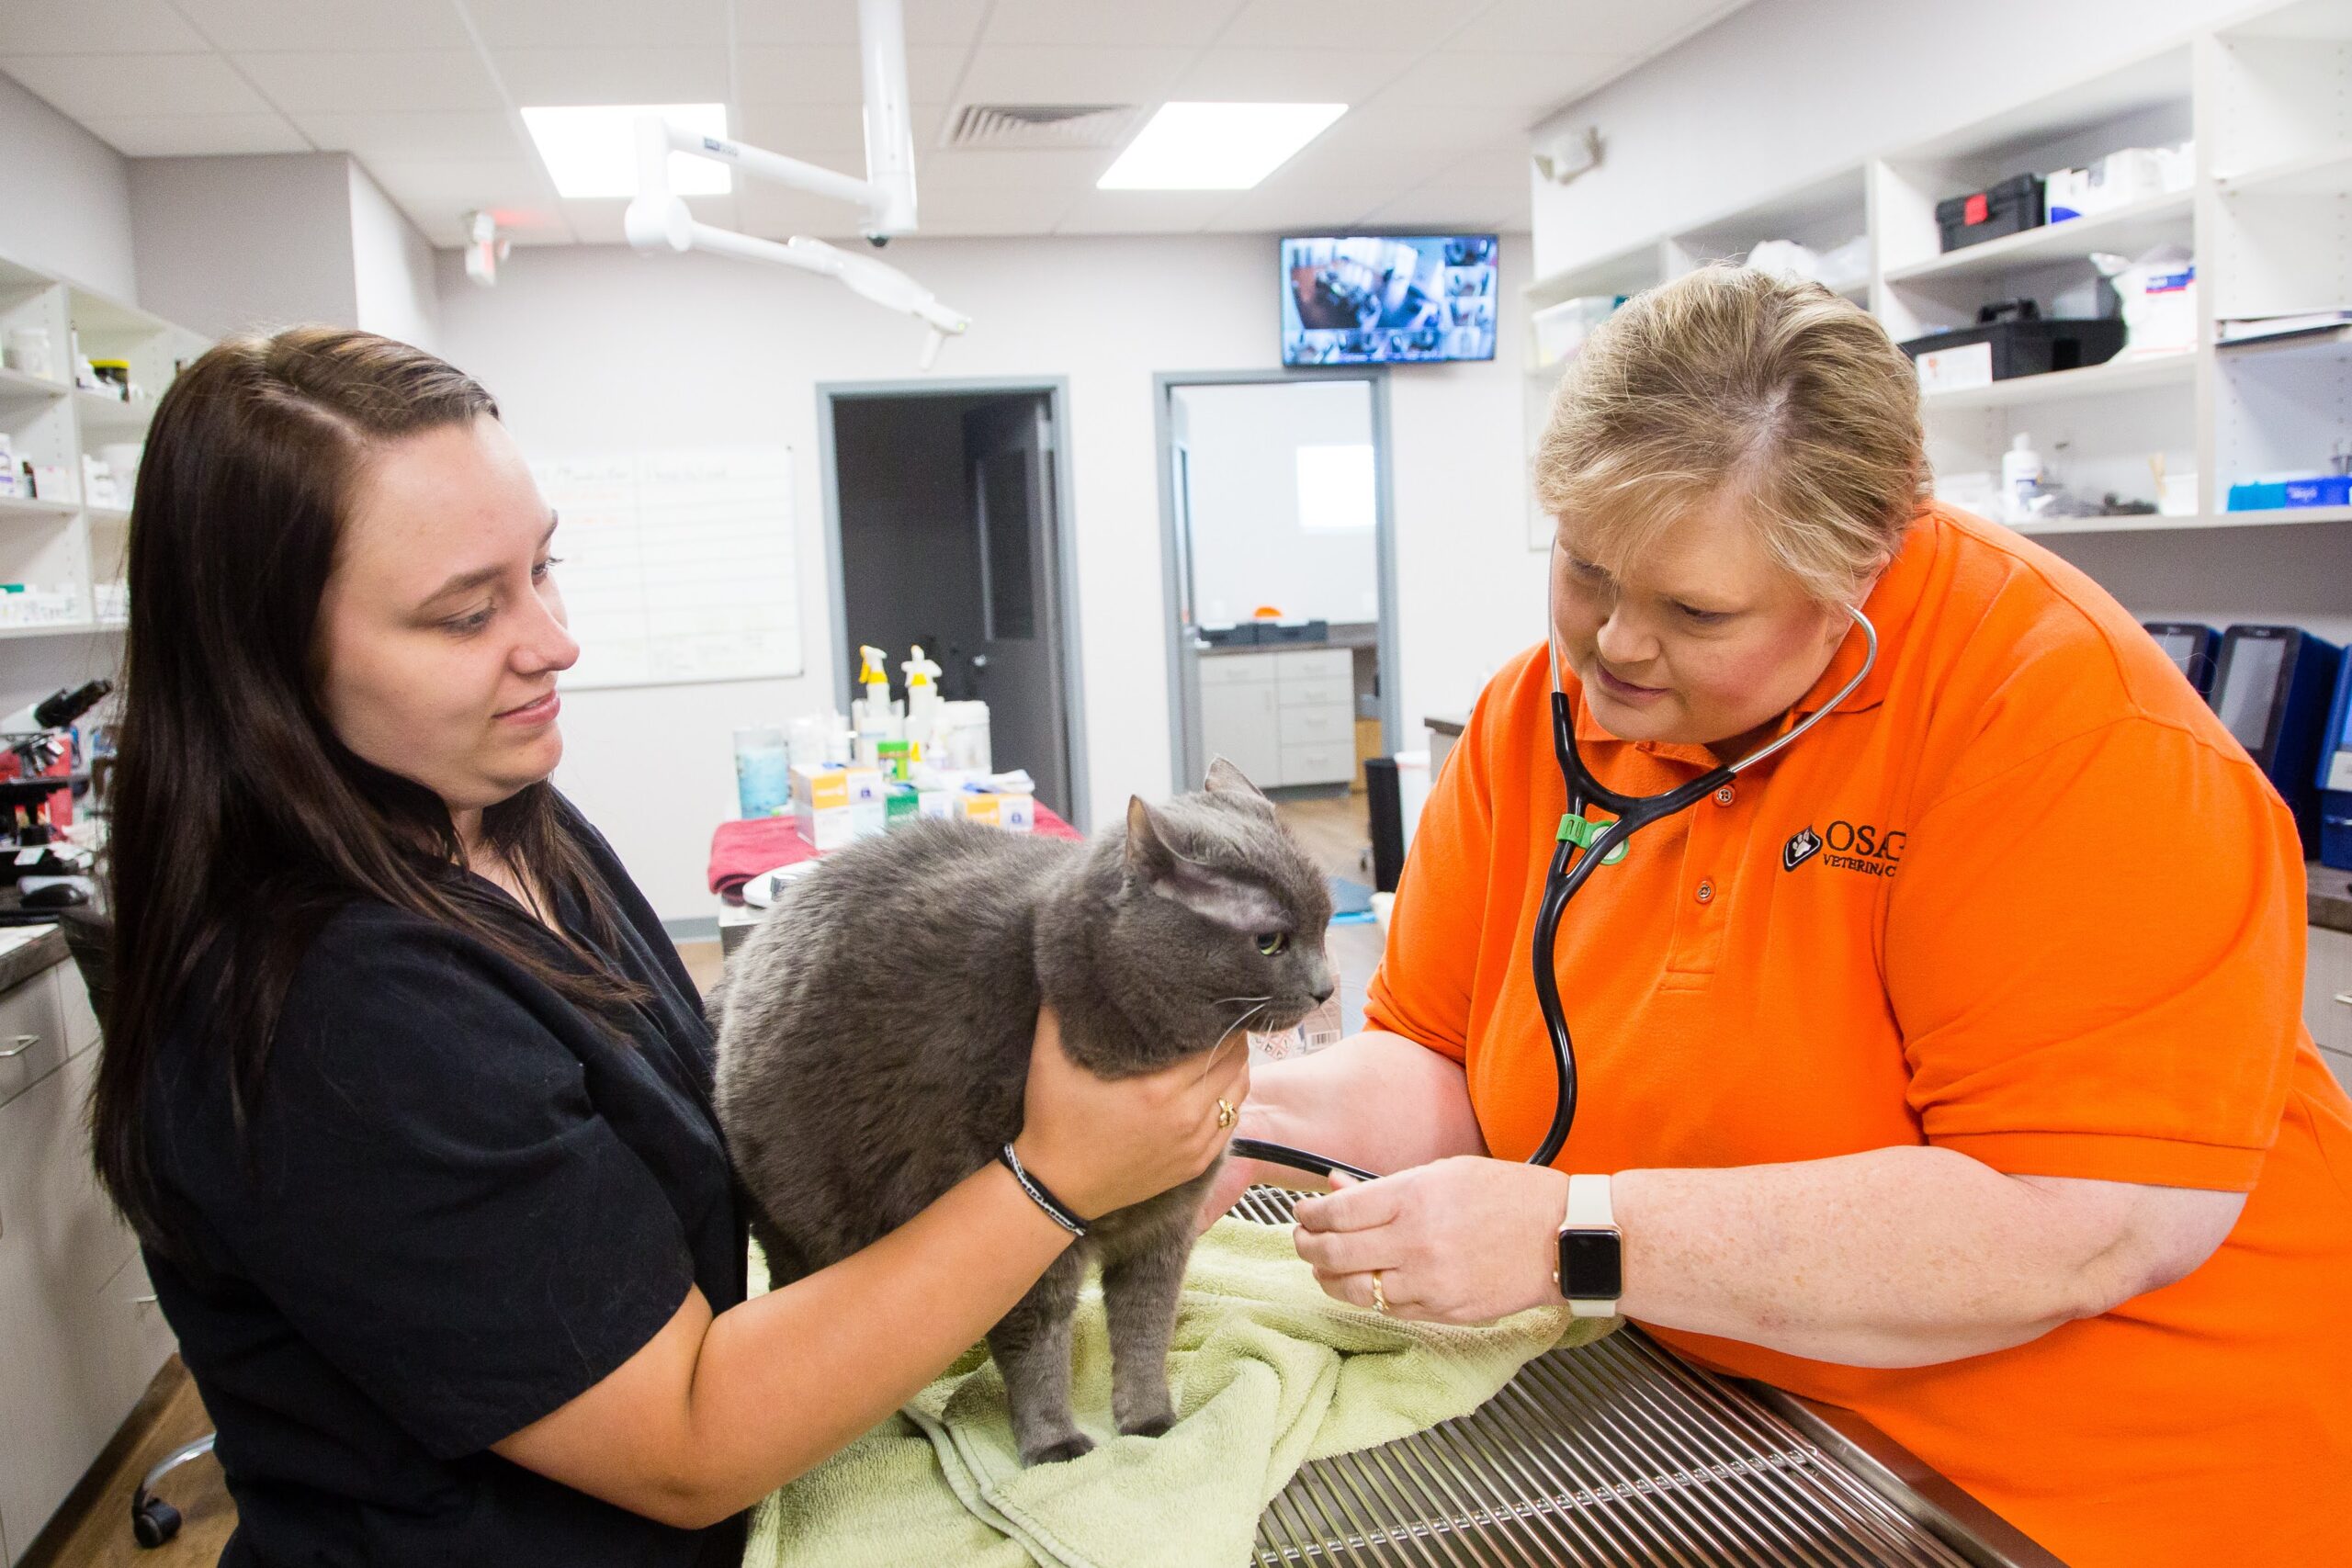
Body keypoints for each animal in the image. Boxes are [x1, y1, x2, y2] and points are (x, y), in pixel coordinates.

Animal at [715, 766, 1336, 1466]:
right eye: (1269, 941)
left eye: (1324, 922)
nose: (1326, 987)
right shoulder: (1026, 1243)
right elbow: (1034, 1341)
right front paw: (1052, 1442)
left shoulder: (1164, 1226)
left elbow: (1146, 1326)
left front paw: (1148, 1418)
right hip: (795, 1220)